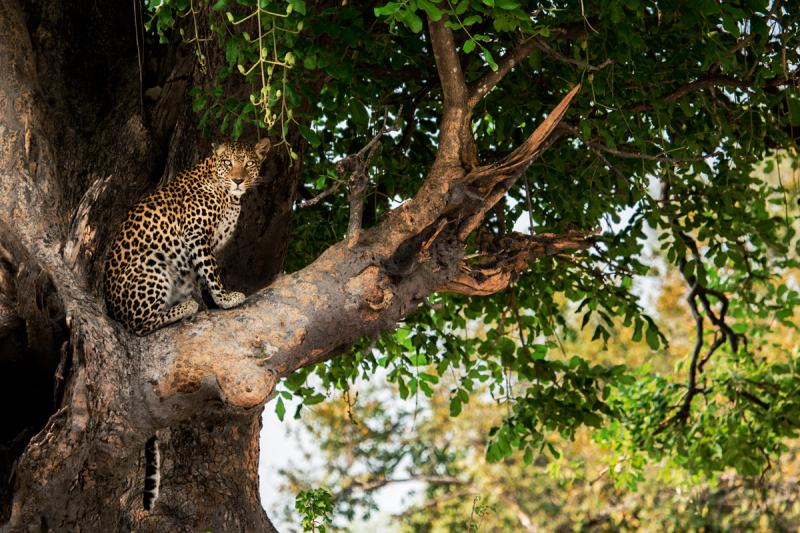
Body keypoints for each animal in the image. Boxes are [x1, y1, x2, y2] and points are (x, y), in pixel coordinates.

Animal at [103, 138, 271, 336]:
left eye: (249, 163)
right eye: (227, 162)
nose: (238, 180)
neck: (230, 197)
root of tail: (112, 310)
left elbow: (200, 274)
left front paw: (207, 303)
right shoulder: (196, 233)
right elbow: (212, 271)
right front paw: (225, 299)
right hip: (152, 259)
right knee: (139, 325)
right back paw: (186, 307)